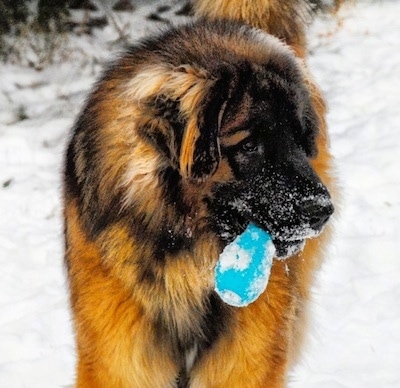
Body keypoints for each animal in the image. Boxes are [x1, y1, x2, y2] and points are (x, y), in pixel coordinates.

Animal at [64, 1, 340, 386]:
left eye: (300, 140)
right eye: (249, 144)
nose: (323, 210)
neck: (184, 257)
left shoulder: (244, 360)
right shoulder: (118, 359)